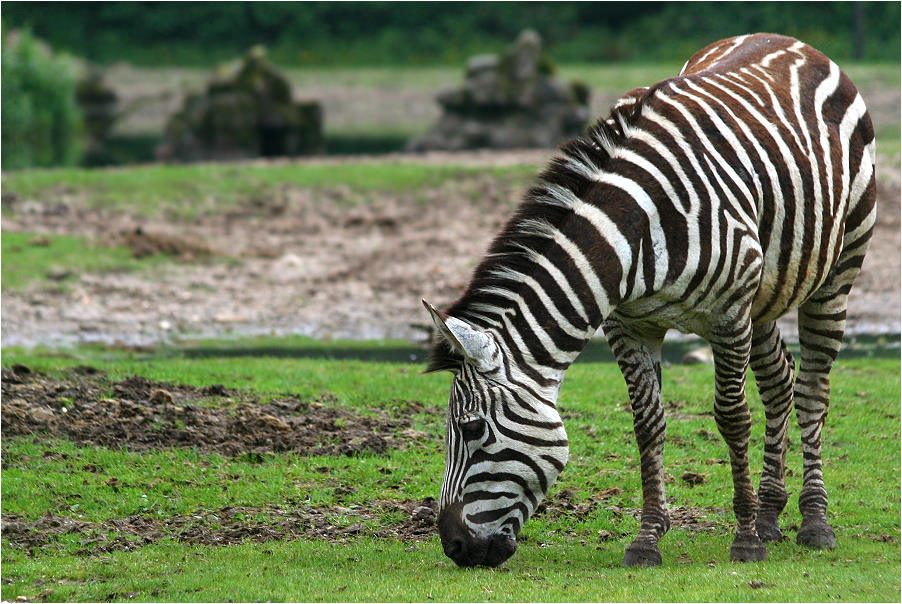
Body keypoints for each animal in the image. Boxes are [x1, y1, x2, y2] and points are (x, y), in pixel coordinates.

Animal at [426, 34, 884, 572]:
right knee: (780, 382)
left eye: (473, 429)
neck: (636, 230)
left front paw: (745, 539)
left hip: (838, 269)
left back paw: (813, 522)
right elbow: (648, 425)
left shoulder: (728, 315)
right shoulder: (629, 325)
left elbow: (732, 417)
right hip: (766, 293)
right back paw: (772, 515)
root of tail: (789, 40)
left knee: (813, 389)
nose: (454, 546)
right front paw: (648, 539)